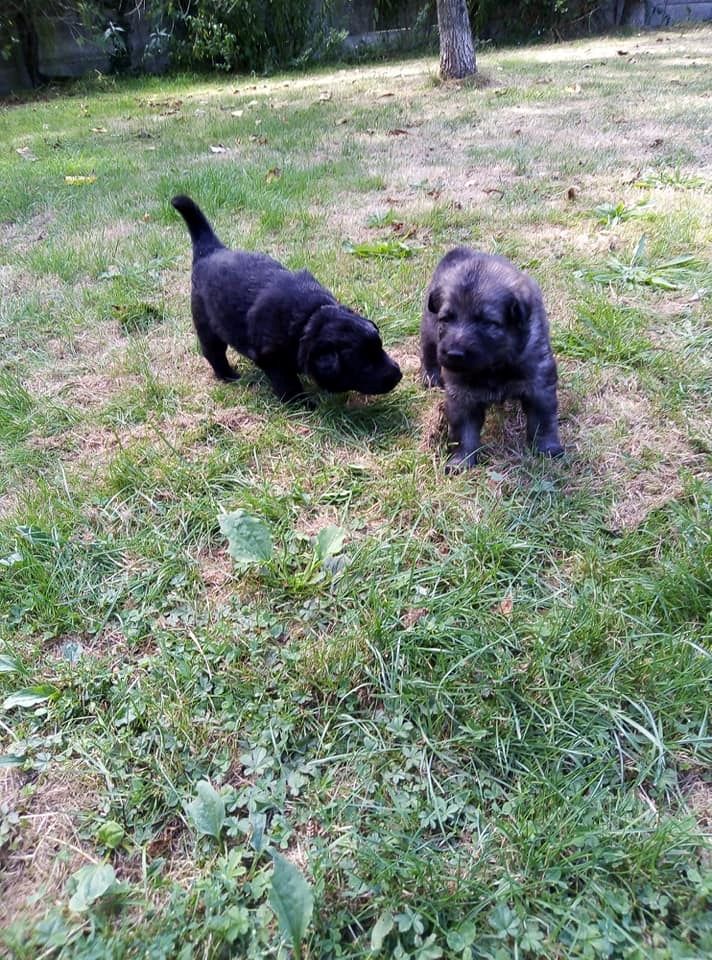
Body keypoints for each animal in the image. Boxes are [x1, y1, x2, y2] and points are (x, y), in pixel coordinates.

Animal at [171, 195, 402, 403]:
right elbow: (287, 382)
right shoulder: (272, 358)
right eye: (365, 364)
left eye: (380, 348)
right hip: (206, 323)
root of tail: (210, 251)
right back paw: (228, 375)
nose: (398, 374)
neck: (309, 319)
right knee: (213, 352)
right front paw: (300, 402)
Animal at [420, 247, 563, 470]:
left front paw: (547, 449)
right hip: (429, 327)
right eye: (446, 319)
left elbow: (543, 421)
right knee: (428, 349)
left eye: (487, 322)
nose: (454, 354)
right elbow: (463, 432)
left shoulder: (539, 385)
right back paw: (431, 376)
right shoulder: (461, 395)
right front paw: (461, 460)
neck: (494, 366)